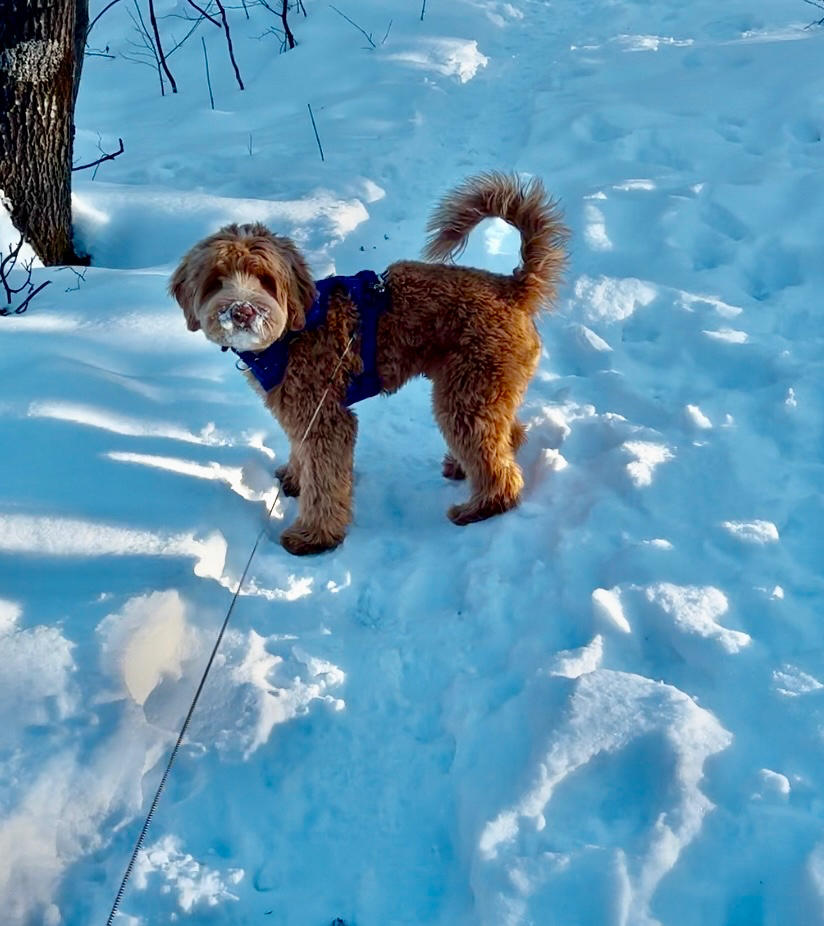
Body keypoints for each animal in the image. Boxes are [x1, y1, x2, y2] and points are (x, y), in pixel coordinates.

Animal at [167, 171, 568, 556]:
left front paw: (314, 536)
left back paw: (480, 507)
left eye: (265, 279)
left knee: (499, 468)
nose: (242, 310)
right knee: (508, 433)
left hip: (468, 390)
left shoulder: (324, 414)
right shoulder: (298, 409)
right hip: (483, 387)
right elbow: (302, 452)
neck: (294, 329)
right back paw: (463, 465)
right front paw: (294, 479)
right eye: (215, 281)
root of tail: (513, 287)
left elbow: (325, 481)